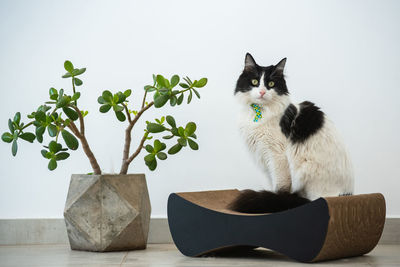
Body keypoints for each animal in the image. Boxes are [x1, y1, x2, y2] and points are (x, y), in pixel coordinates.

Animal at [230, 54, 354, 214]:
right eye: (255, 82)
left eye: (271, 84)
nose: (262, 92)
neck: (260, 112)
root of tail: (346, 194)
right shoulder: (265, 158)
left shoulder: (277, 156)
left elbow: (280, 187)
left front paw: (276, 200)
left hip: (306, 170)